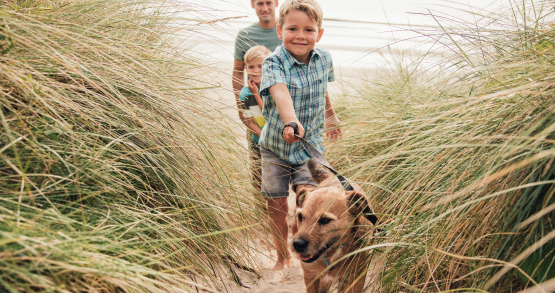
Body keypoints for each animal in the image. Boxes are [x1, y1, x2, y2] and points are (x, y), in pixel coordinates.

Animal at [292, 159, 378, 292]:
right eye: (300, 217)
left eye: (325, 220)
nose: (297, 245)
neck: (332, 254)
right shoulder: (311, 277)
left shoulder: (355, 279)